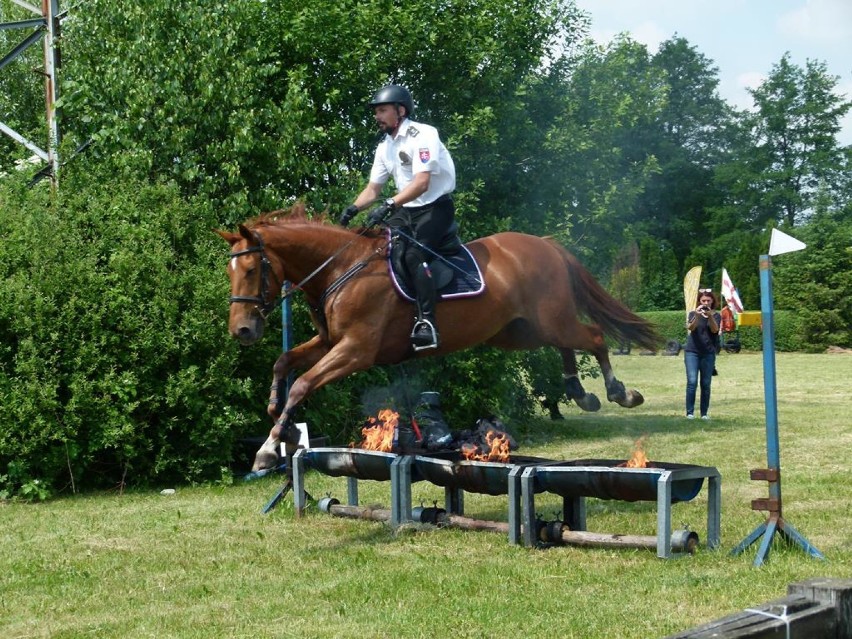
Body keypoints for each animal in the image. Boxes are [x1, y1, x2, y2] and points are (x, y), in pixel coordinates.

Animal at [216, 202, 664, 472]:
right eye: (229, 272)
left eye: (252, 270)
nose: (242, 330)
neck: (340, 269)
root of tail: (546, 245)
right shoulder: (330, 344)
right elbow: (284, 363)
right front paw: (277, 416)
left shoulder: (356, 351)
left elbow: (303, 383)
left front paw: (269, 448)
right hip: (520, 331)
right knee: (566, 344)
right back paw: (578, 391)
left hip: (547, 319)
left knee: (594, 336)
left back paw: (618, 392)